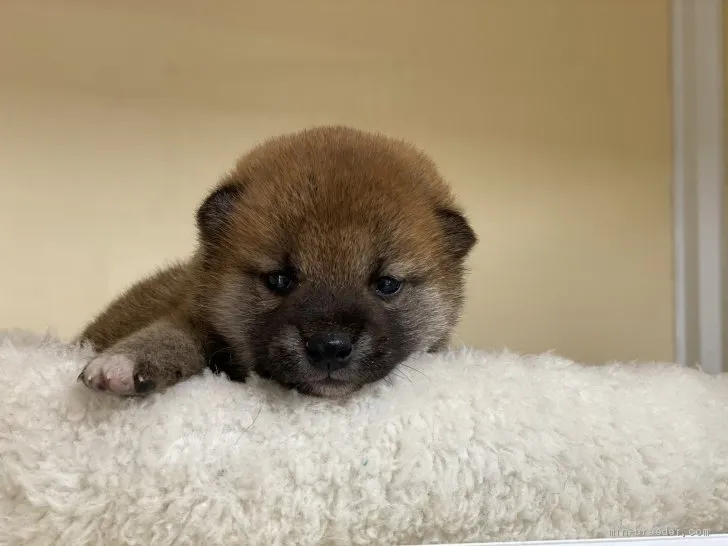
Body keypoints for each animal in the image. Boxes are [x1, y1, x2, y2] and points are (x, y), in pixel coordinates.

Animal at [77, 124, 478, 396]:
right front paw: (124, 363)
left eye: (387, 284)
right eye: (280, 280)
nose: (330, 347)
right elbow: (172, 333)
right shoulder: (192, 316)